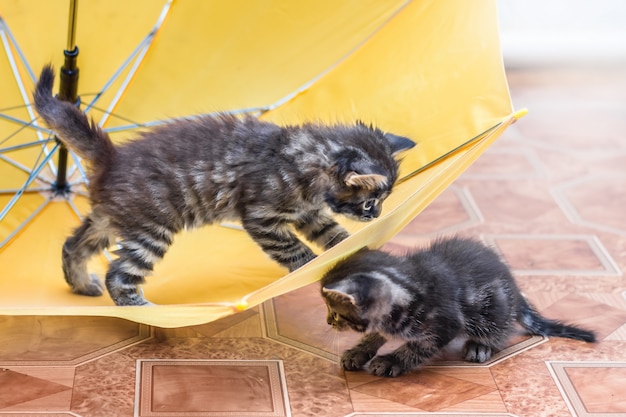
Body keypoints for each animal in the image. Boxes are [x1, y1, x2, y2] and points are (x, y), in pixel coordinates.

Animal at [33, 65, 414, 306]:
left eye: (379, 202)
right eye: (370, 202)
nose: (375, 216)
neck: (304, 159)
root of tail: (112, 157)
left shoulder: (310, 214)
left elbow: (334, 235)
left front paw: (352, 250)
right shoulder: (262, 218)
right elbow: (296, 251)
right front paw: (309, 267)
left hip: (109, 220)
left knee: (73, 245)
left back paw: (82, 285)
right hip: (150, 231)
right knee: (119, 273)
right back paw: (139, 306)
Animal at [322, 237, 596, 376]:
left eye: (335, 312)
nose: (328, 322)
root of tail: (515, 291)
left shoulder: (444, 324)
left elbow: (417, 348)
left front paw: (391, 361)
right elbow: (375, 335)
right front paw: (359, 352)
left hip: (493, 311)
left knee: (498, 329)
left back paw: (480, 346)